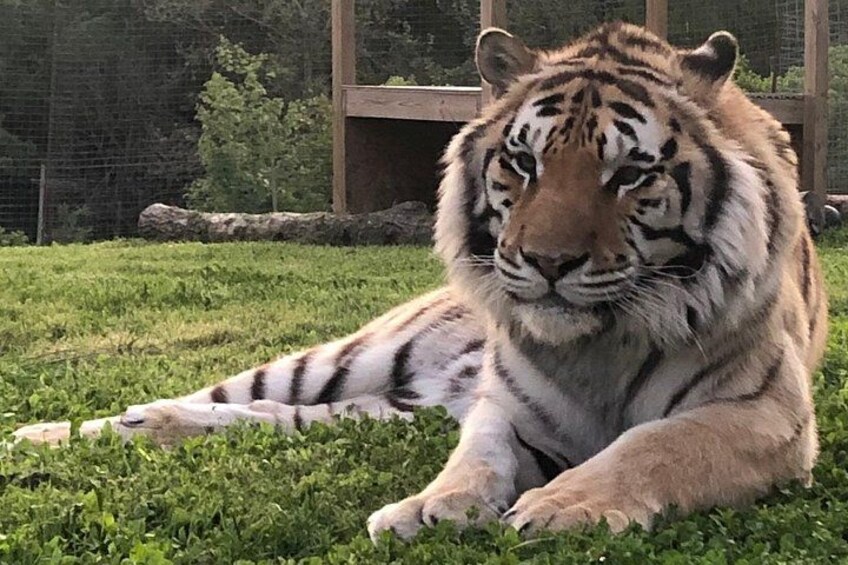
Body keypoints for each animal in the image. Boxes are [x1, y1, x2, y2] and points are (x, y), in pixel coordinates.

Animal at [12, 22, 827, 541]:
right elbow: (477, 458)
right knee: (226, 395)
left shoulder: (764, 413)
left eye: (628, 173)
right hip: (342, 360)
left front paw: (562, 507)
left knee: (263, 417)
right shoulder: (504, 406)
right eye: (524, 163)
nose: (548, 262)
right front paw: (435, 507)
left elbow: (652, 445)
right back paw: (48, 433)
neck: (594, 347)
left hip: (385, 407)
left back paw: (132, 427)